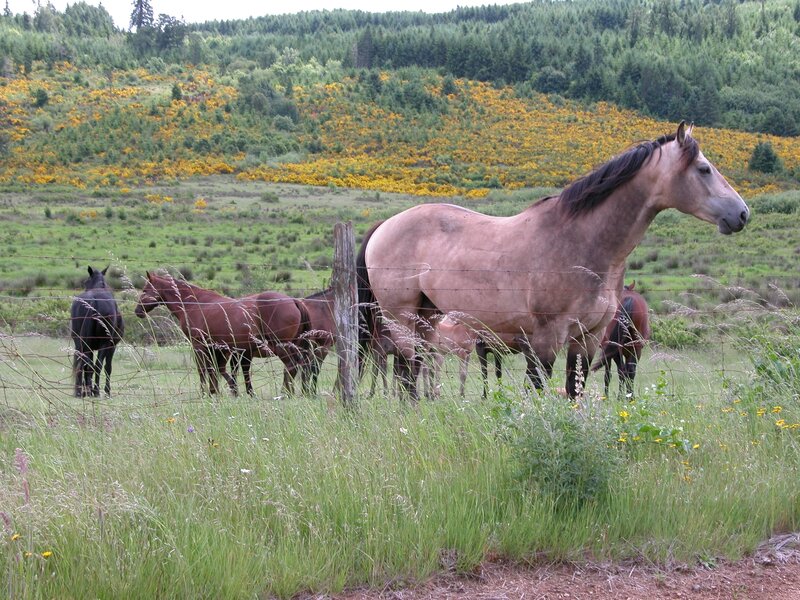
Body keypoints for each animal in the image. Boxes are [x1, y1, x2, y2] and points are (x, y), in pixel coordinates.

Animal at [70, 266, 124, 397]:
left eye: (85, 282)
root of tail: (92, 300)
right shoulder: (112, 346)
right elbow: (107, 367)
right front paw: (107, 390)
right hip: (104, 343)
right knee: (97, 365)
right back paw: (95, 391)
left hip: (80, 342)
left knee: (84, 364)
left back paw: (81, 391)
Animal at [134, 272, 309, 396]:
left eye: (145, 290)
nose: (138, 311)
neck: (195, 303)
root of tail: (293, 300)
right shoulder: (218, 348)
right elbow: (217, 370)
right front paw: (218, 392)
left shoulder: (199, 346)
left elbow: (204, 370)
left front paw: (205, 393)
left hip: (281, 346)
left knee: (291, 366)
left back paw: (285, 393)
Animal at [357, 122, 749, 400]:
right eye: (704, 169)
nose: (742, 214)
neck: (582, 242)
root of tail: (384, 226)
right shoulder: (546, 339)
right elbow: (537, 390)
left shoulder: (587, 339)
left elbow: (574, 390)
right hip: (402, 319)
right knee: (407, 371)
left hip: (428, 318)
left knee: (415, 369)